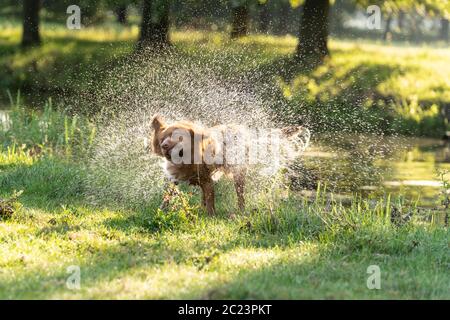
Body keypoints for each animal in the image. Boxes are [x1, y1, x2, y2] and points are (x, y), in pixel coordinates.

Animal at [151, 115, 310, 215]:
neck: (186, 161)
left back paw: (241, 211)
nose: (164, 146)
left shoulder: (207, 181)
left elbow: (210, 202)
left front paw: (210, 217)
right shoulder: (176, 179)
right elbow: (167, 196)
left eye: (178, 137)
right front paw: (161, 210)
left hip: (238, 175)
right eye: (162, 138)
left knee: (240, 197)